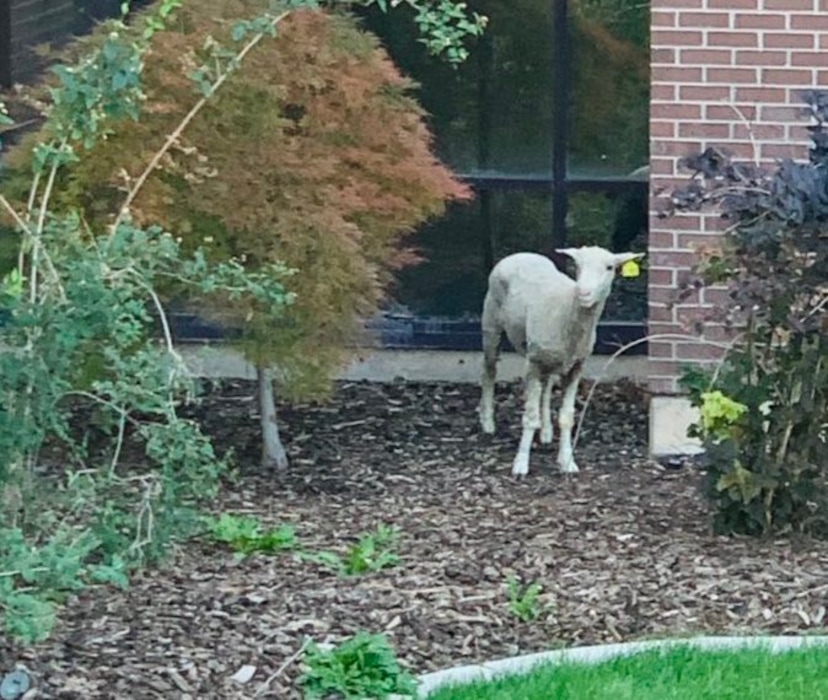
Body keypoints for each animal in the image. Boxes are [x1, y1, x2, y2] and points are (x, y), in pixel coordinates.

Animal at [478, 246, 644, 477]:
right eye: (578, 265)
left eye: (609, 267)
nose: (584, 293)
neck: (567, 310)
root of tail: (520, 254)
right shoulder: (532, 363)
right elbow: (529, 417)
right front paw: (521, 463)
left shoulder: (577, 366)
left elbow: (567, 417)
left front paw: (567, 461)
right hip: (491, 322)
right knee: (489, 370)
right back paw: (487, 422)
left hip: (549, 357)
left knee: (546, 386)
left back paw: (546, 431)